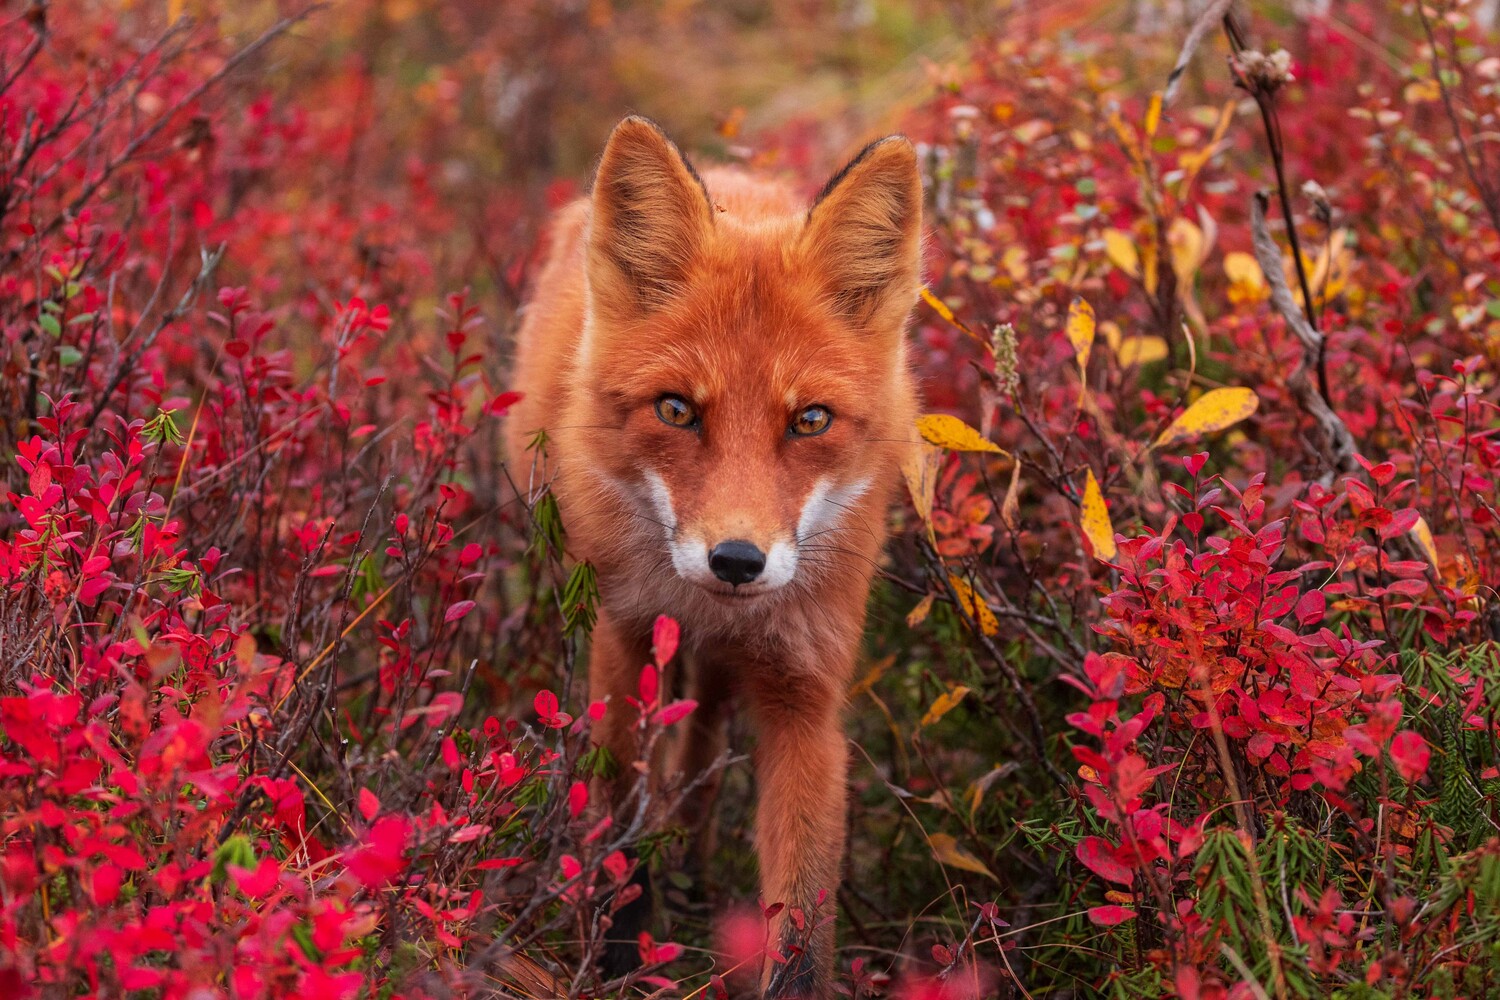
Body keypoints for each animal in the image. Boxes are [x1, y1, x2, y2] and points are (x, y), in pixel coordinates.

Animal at [510, 115, 918, 995]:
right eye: (676, 410)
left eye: (810, 420)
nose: (736, 561)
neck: (700, 606)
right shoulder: (622, 641)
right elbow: (620, 822)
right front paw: (620, 953)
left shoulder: (807, 698)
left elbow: (800, 923)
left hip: (736, 668)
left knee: (707, 729)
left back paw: (694, 862)